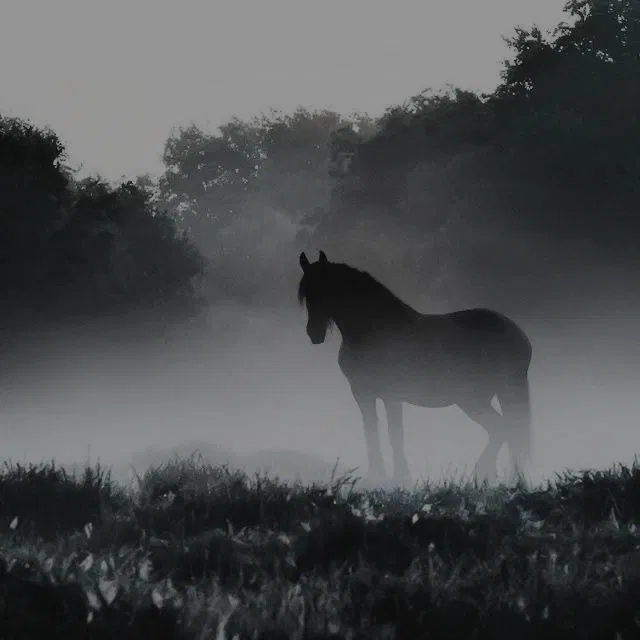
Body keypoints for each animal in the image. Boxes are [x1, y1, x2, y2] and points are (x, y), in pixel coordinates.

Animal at [297, 250, 533, 487]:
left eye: (327, 288)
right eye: (307, 294)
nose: (314, 333)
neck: (373, 328)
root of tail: (519, 337)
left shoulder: (391, 396)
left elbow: (395, 434)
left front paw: (400, 477)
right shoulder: (363, 394)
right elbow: (371, 431)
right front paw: (377, 475)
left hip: (475, 398)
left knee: (502, 428)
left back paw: (481, 475)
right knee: (506, 430)